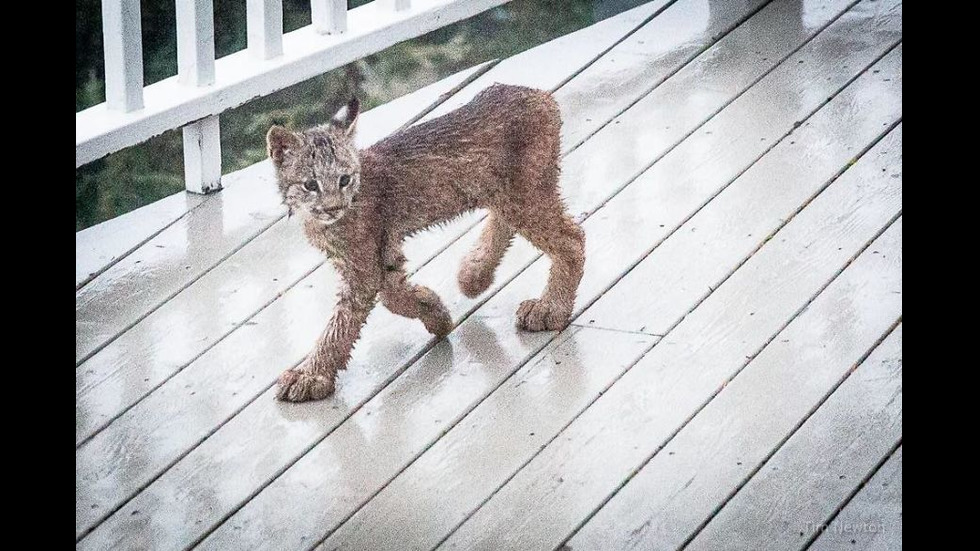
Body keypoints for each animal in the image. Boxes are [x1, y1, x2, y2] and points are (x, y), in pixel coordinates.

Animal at [270, 84, 580, 402]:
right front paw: (433, 309)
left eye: (344, 179)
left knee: (572, 239)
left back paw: (550, 309)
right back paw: (475, 273)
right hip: (505, 191)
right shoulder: (382, 250)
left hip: (522, 193)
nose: (333, 208)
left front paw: (311, 376)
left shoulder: (363, 268)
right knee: (506, 220)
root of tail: (535, 93)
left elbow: (342, 324)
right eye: (310, 185)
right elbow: (393, 295)